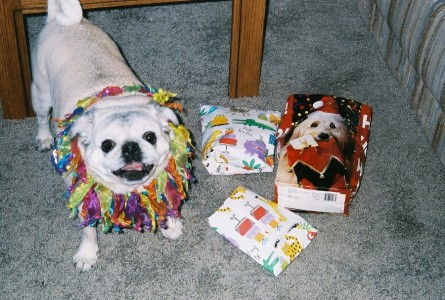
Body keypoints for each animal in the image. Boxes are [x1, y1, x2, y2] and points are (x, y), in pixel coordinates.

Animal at [32, 0, 183, 272]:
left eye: (150, 137)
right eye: (107, 145)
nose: (131, 147)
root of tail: (59, 21)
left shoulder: (164, 177)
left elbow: (165, 200)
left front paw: (171, 225)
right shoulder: (83, 195)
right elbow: (88, 231)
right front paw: (87, 253)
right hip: (40, 94)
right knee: (41, 117)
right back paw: (44, 137)